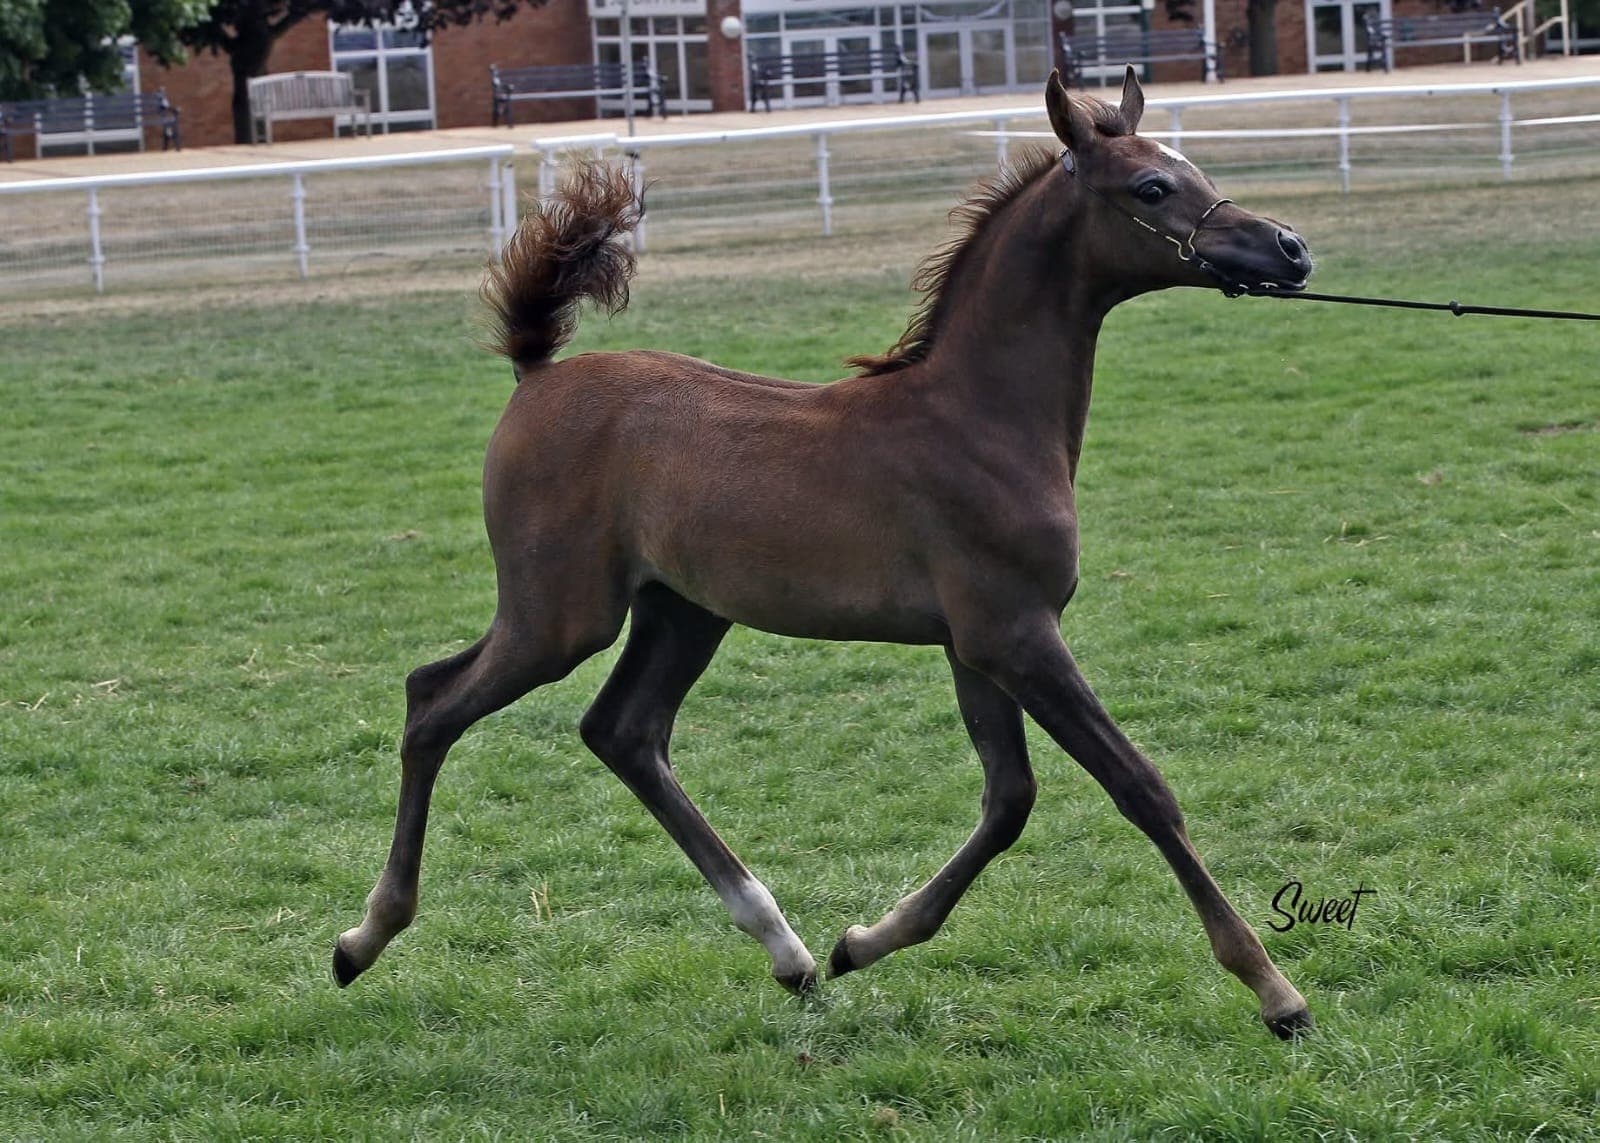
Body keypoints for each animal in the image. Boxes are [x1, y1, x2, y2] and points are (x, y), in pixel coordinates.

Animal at [333, 68, 1318, 1039]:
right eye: (1152, 187)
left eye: (1193, 167)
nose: (1291, 248)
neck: (979, 416)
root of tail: (535, 375)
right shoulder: (1015, 633)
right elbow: (1138, 785)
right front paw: (1275, 990)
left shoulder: (974, 645)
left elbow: (1009, 800)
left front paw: (861, 941)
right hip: (559, 614)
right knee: (433, 701)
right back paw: (362, 938)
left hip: (680, 611)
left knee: (621, 730)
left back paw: (792, 952)